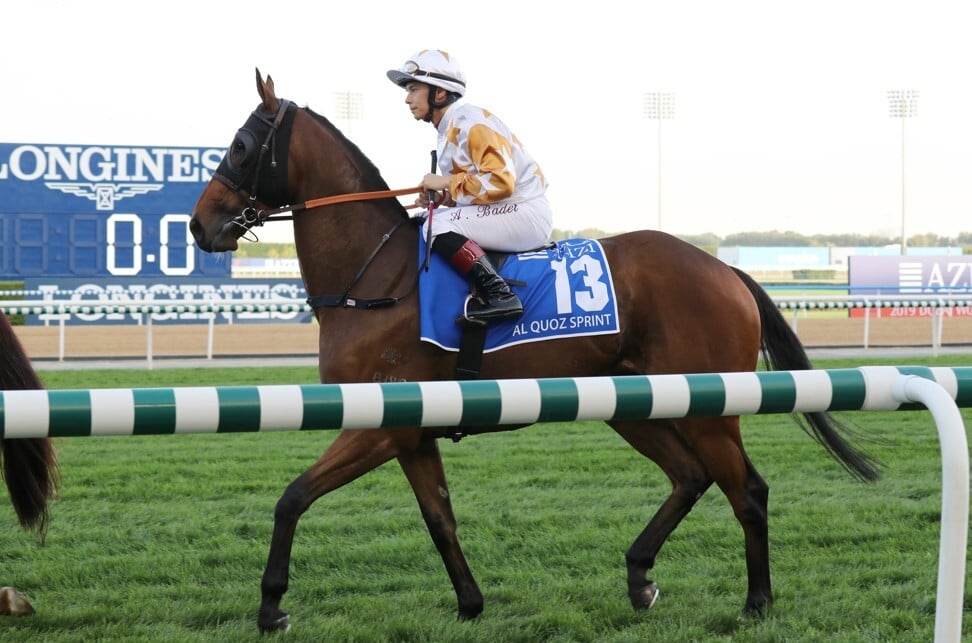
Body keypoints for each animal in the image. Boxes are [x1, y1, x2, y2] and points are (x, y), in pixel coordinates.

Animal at [190, 70, 880, 632]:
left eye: (241, 146)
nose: (200, 225)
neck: (375, 277)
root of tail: (724, 270)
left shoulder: (380, 426)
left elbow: (292, 497)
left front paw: (271, 605)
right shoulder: (411, 431)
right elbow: (439, 518)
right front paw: (470, 603)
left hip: (712, 409)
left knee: (748, 491)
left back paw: (756, 602)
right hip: (634, 405)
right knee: (691, 475)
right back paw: (639, 575)